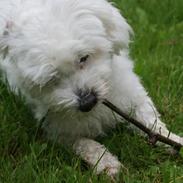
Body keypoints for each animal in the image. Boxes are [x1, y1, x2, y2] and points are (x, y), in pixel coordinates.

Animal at [0, 0, 183, 177]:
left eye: (84, 58)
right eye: (52, 78)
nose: (87, 102)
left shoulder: (130, 94)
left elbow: (150, 121)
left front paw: (173, 139)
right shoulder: (59, 129)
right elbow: (85, 144)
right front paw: (106, 163)